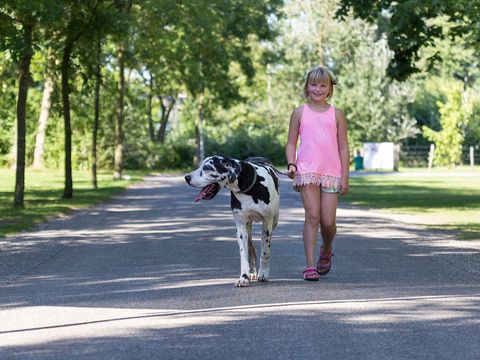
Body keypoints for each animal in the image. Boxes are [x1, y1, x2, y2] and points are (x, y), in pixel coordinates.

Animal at [185, 155, 282, 286]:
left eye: (206, 167)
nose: (186, 177)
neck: (249, 188)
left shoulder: (267, 224)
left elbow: (265, 252)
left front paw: (263, 274)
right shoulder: (241, 228)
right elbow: (244, 255)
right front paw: (244, 277)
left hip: (274, 221)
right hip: (248, 228)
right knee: (251, 249)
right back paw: (252, 272)